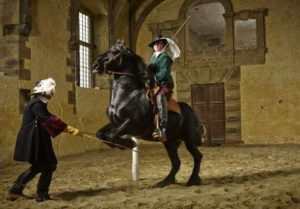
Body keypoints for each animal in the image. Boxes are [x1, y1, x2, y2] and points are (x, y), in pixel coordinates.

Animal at [92, 40, 203, 186]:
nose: (94, 65)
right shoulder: (115, 123)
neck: (127, 94)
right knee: (176, 162)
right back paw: (165, 181)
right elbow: (101, 135)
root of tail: (192, 112)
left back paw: (193, 179)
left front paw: (129, 143)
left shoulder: (132, 123)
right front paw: (124, 144)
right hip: (170, 142)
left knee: (197, 156)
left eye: (115, 52)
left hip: (188, 140)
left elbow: (111, 135)